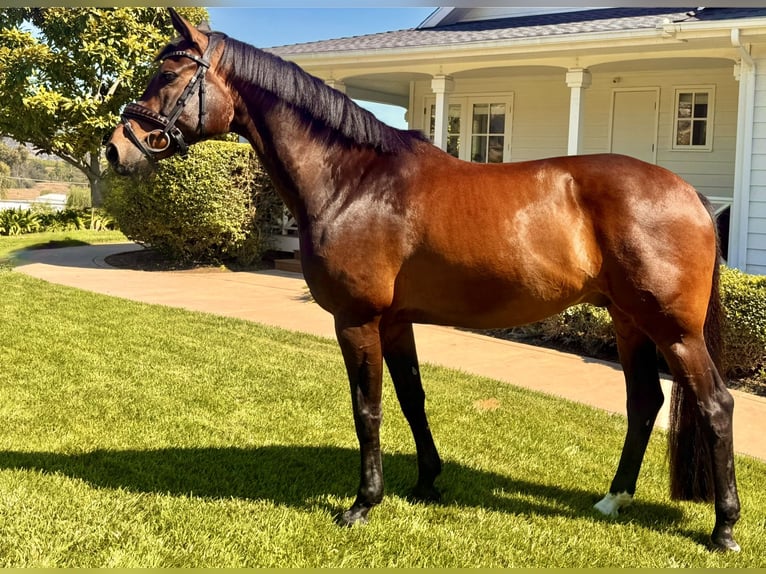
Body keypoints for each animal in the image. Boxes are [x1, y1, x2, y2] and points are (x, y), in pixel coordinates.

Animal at [105, 9, 740, 552]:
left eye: (167, 74)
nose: (116, 150)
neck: (354, 181)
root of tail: (689, 193)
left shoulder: (357, 320)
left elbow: (368, 408)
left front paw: (362, 504)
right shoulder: (395, 321)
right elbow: (412, 397)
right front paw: (427, 481)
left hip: (673, 329)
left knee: (716, 404)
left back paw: (723, 529)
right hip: (628, 320)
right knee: (644, 402)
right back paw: (613, 500)